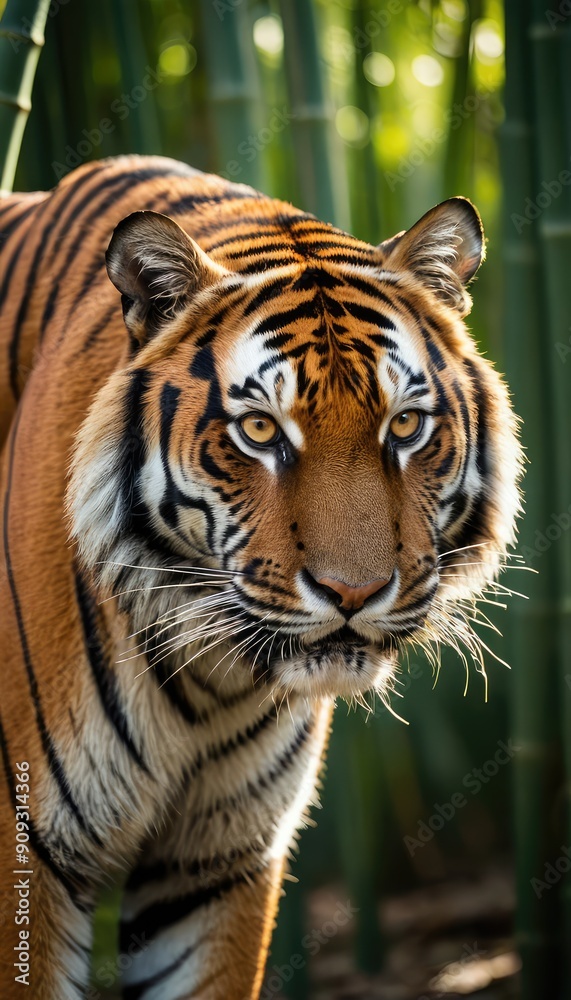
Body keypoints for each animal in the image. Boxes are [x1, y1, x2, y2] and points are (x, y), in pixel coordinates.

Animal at [0, 154, 522, 1000]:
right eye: (258, 430)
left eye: (405, 426)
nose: (353, 594)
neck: (210, 680)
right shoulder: (30, 852)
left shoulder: (214, 864)